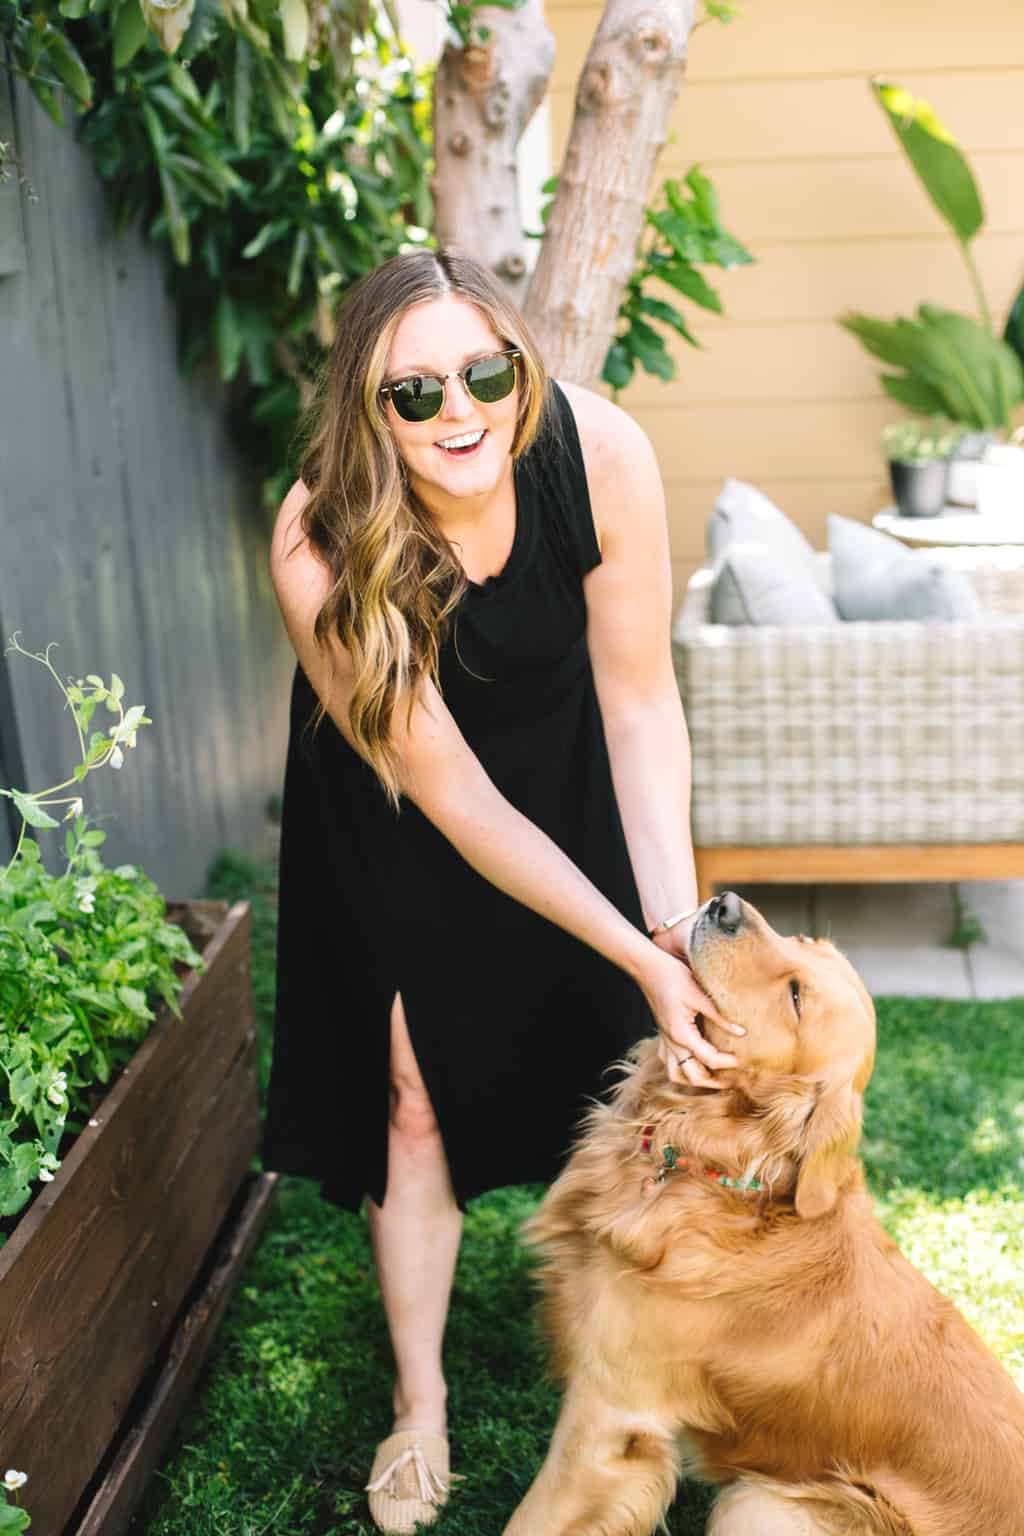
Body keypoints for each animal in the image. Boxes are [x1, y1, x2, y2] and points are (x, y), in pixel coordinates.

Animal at [503, 890, 1024, 1536]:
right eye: (802, 941)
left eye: (796, 996)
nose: (723, 905)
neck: (709, 1166)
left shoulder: (609, 1416)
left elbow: (532, 1518)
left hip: (758, 1501)